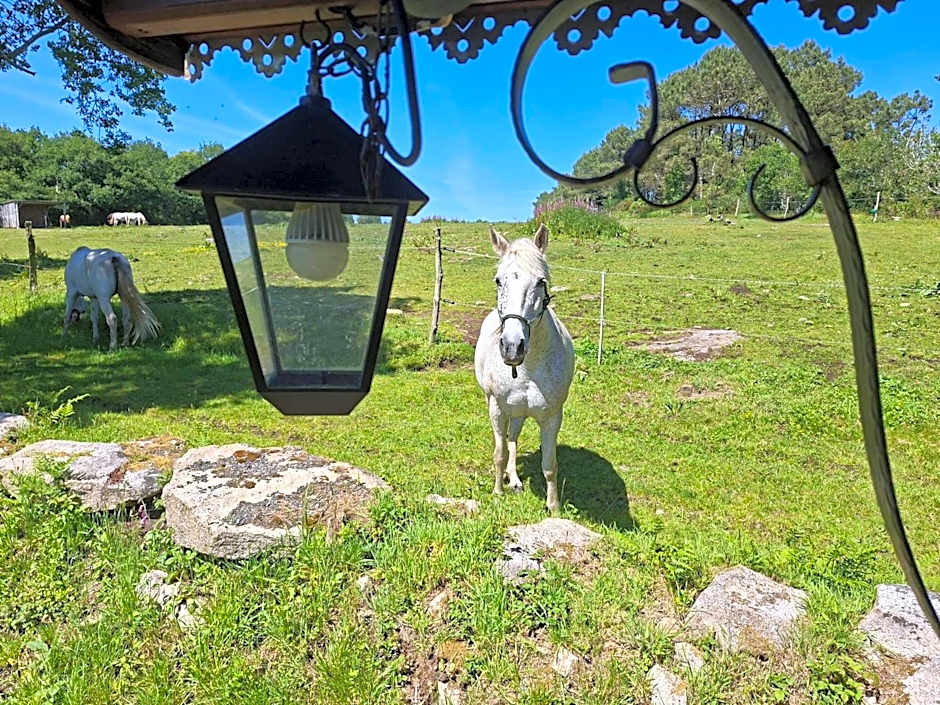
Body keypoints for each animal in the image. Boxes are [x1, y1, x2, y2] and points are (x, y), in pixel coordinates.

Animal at [474, 224, 575, 515]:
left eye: (541, 282)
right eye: (498, 280)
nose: (512, 346)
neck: (528, 369)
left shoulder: (552, 417)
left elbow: (550, 465)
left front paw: (554, 508)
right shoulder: (496, 407)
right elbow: (499, 453)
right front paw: (497, 492)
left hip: (519, 412)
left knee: (514, 438)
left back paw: (516, 480)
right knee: (509, 441)